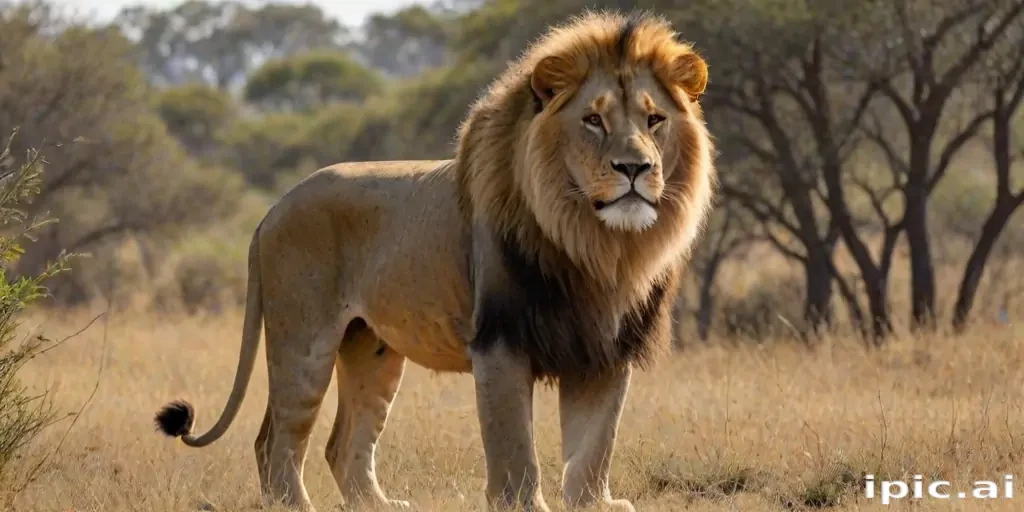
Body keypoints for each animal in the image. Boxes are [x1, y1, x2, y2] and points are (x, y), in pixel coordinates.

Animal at [153, 10, 715, 512]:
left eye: (654, 120)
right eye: (593, 120)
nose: (634, 168)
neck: (597, 247)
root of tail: (272, 209)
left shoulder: (603, 350)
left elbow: (594, 447)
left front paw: (593, 503)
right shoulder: (500, 342)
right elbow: (515, 450)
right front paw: (523, 504)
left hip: (372, 349)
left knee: (343, 444)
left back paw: (382, 506)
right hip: (303, 343)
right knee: (276, 440)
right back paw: (298, 505)